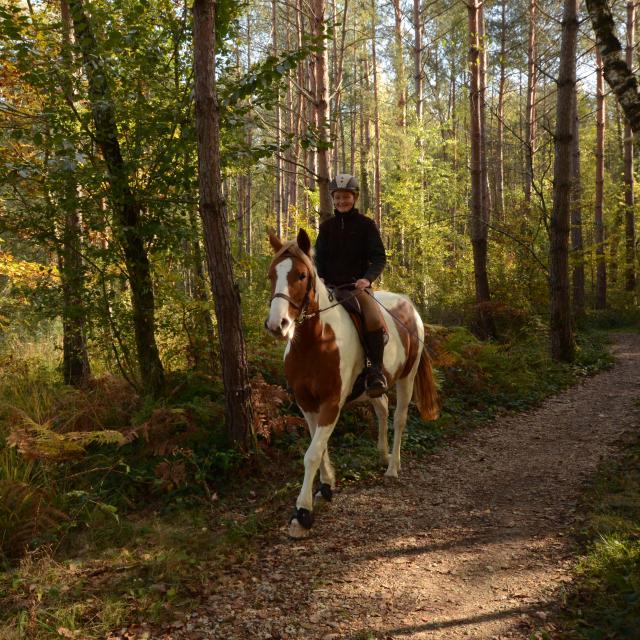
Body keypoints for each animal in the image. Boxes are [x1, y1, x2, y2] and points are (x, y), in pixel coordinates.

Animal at [262, 228, 438, 536]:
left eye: (301, 275)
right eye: (272, 274)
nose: (277, 325)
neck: (316, 342)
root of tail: (409, 305)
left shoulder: (331, 403)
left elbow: (312, 453)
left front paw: (302, 513)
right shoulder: (306, 403)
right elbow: (318, 446)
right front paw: (326, 486)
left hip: (407, 377)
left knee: (399, 418)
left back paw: (393, 467)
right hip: (375, 385)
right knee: (382, 406)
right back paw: (382, 455)